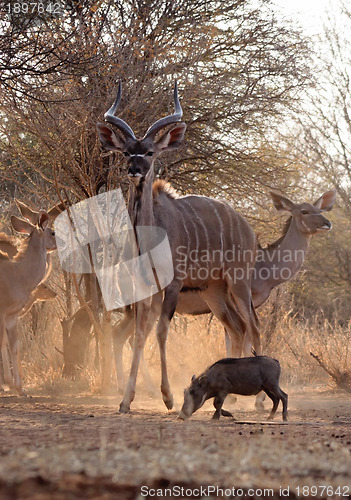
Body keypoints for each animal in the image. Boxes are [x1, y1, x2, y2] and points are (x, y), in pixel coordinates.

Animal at [96, 82, 262, 412]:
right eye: (126, 151)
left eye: (149, 151)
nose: (134, 169)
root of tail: (247, 227)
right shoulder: (145, 289)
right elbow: (139, 336)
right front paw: (126, 400)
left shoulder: (172, 285)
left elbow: (161, 332)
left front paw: (168, 396)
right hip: (214, 291)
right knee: (237, 328)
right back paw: (234, 396)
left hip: (238, 282)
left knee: (253, 326)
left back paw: (259, 402)